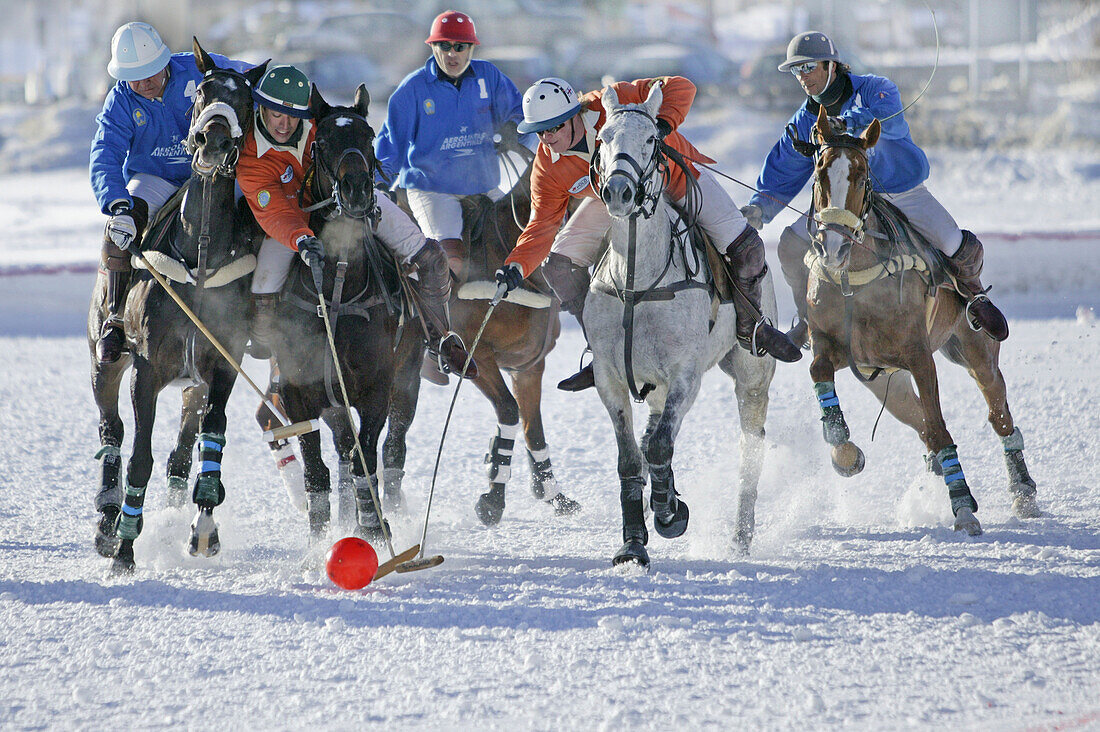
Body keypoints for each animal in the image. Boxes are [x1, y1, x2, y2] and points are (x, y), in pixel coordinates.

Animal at [382, 150, 580, 521]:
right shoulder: (477, 358)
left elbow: (533, 428)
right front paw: (493, 499)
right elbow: (509, 411)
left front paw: (552, 493)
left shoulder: (529, 366)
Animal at [589, 82, 778, 567]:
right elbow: (631, 457)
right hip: (653, 385)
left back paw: (740, 536)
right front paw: (632, 543)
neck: (637, 277)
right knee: (654, 432)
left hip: (751, 376)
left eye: (651, 141)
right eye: (602, 138)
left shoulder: (685, 375)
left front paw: (669, 514)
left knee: (750, 449)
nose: (618, 192)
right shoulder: (609, 377)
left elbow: (659, 447)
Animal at [796, 104, 1034, 537]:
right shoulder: (839, 347)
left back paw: (1023, 491)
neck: (853, 281)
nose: (834, 247)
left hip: (976, 351)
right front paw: (844, 451)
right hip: (890, 381)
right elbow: (818, 369)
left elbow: (940, 427)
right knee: (921, 422)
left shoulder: (919, 356)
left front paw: (964, 508)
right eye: (819, 173)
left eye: (862, 176)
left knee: (998, 416)